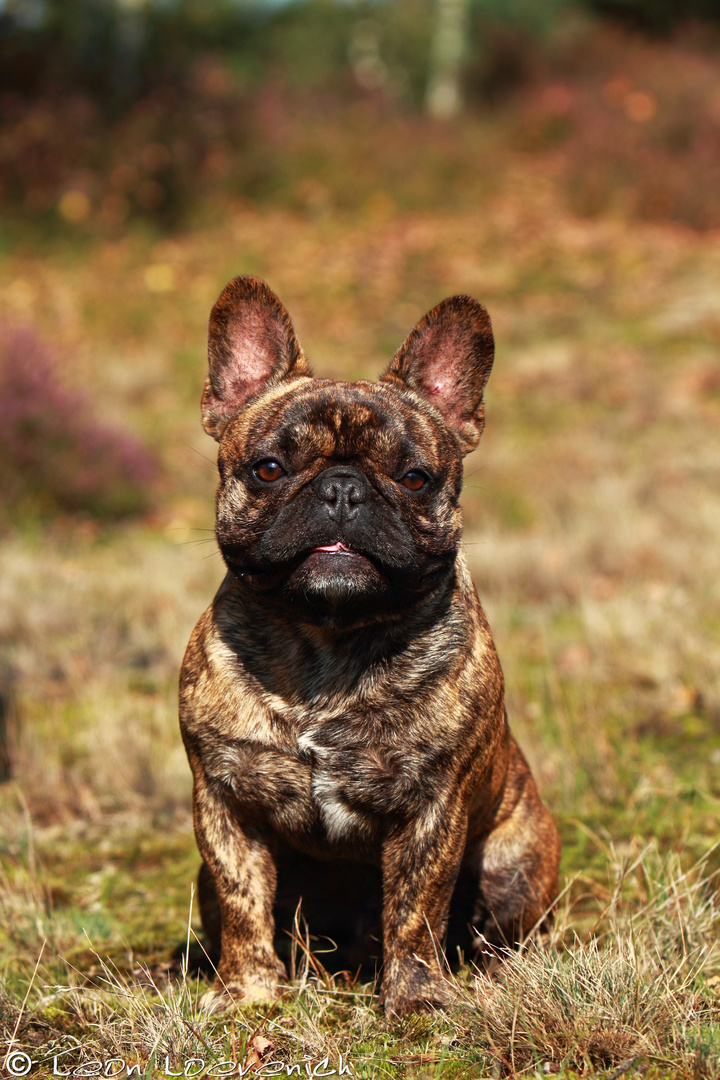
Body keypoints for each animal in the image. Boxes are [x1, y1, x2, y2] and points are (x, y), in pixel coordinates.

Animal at [180, 274, 561, 1015]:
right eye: (269, 468)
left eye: (414, 478)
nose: (341, 487)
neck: (327, 638)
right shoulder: (224, 801)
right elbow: (244, 905)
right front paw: (247, 993)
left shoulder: (431, 808)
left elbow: (415, 909)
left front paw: (414, 1002)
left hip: (512, 860)